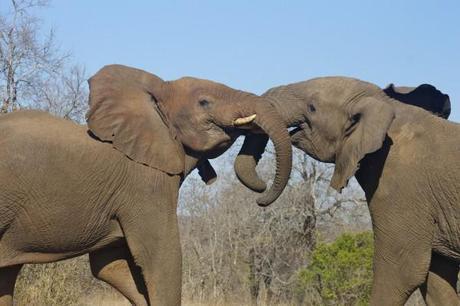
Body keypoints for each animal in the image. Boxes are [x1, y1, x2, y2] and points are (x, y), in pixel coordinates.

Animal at [235, 78, 458, 306]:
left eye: (312, 107)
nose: (261, 194)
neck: (384, 105)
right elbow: (436, 276)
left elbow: (404, 269)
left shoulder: (401, 184)